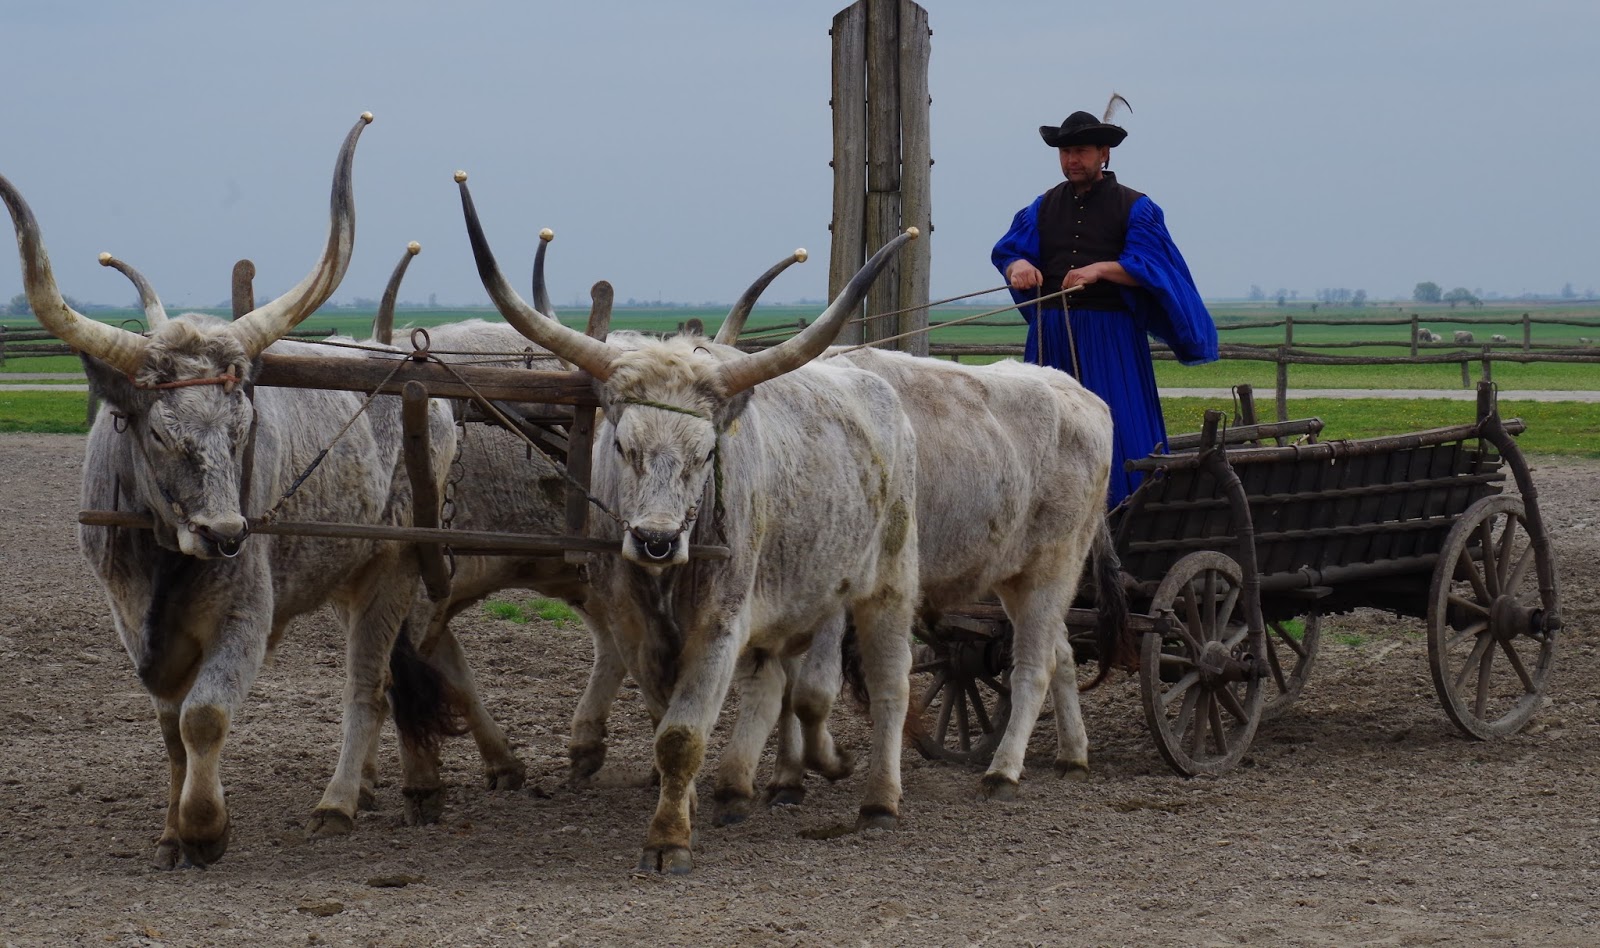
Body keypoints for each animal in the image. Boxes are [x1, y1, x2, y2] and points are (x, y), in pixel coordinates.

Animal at [0, 114, 465, 867]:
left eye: (244, 425)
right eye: (159, 434)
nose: (224, 534)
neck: (166, 552)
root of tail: (408, 365)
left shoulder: (246, 614)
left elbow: (205, 716)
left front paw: (204, 829)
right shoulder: (128, 617)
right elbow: (169, 728)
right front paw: (169, 832)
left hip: (395, 562)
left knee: (370, 684)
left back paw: (342, 801)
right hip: (347, 570)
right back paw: (385, 785)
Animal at [455, 171, 921, 874]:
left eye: (706, 454)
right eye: (621, 445)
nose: (654, 540)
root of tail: (875, 382)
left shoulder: (721, 625)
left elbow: (682, 733)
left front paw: (668, 839)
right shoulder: (633, 625)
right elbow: (663, 720)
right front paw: (689, 805)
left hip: (889, 581)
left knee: (892, 685)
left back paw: (880, 802)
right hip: (802, 593)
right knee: (786, 682)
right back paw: (777, 780)